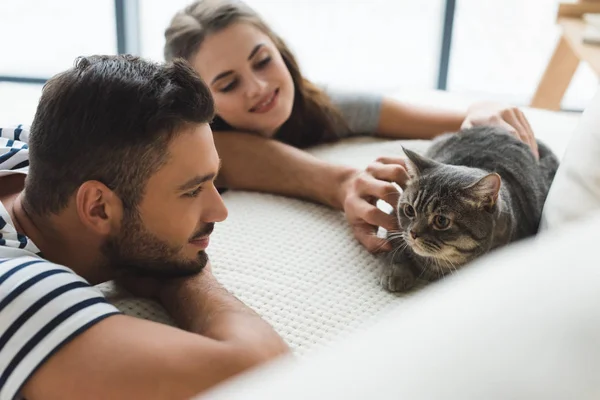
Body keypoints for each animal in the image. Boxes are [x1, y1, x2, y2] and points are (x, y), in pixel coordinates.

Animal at [382, 126, 560, 292]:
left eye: (441, 221)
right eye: (409, 210)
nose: (413, 233)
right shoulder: (394, 224)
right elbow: (395, 246)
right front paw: (397, 272)